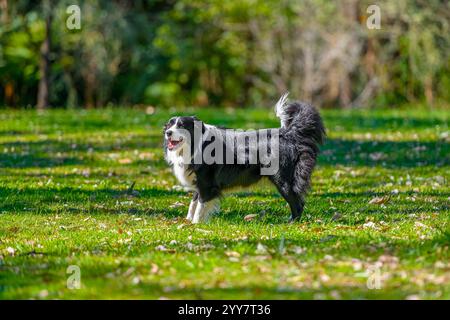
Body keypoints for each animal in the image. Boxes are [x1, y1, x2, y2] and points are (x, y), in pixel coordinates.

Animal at [163, 92, 326, 222]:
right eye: (169, 126)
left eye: (182, 126)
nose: (168, 133)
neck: (196, 144)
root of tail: (288, 134)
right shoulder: (200, 182)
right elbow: (193, 203)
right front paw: (188, 222)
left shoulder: (207, 184)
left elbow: (200, 206)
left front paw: (195, 225)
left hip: (283, 179)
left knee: (298, 203)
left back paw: (292, 223)